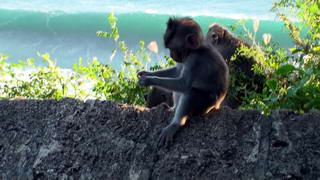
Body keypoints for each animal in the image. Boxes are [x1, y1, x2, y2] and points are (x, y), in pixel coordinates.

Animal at [137, 16, 228, 147]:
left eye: (173, 48)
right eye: (169, 49)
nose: (171, 55)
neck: (196, 49)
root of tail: (217, 105)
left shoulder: (194, 60)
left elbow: (183, 84)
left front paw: (148, 80)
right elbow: (177, 72)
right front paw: (146, 73)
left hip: (206, 105)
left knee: (190, 93)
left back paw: (176, 124)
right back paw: (173, 108)